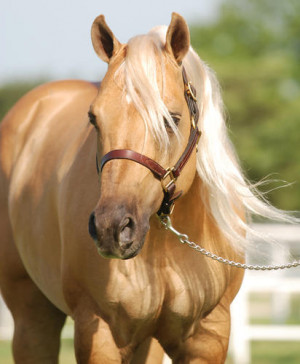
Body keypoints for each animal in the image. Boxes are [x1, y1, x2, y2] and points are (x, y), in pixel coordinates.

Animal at [0, 12, 290, 364]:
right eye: (93, 119)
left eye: (171, 119)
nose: (112, 228)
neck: (164, 250)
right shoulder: (100, 332)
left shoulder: (207, 336)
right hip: (31, 315)